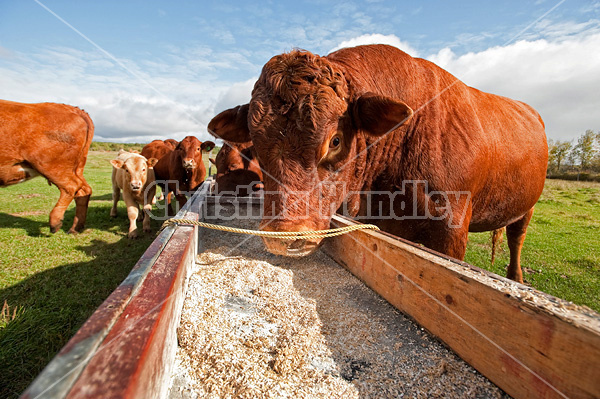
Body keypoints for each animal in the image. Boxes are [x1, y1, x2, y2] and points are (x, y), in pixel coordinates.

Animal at [0, 98, 94, 233]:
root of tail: (72, 108)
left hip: (51, 166)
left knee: (71, 187)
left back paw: (55, 222)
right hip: (76, 167)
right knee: (84, 190)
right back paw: (75, 228)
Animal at [207, 44, 548, 284]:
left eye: (335, 141)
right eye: (255, 143)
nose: (285, 236)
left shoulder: (451, 229)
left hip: (527, 207)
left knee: (516, 238)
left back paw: (517, 278)